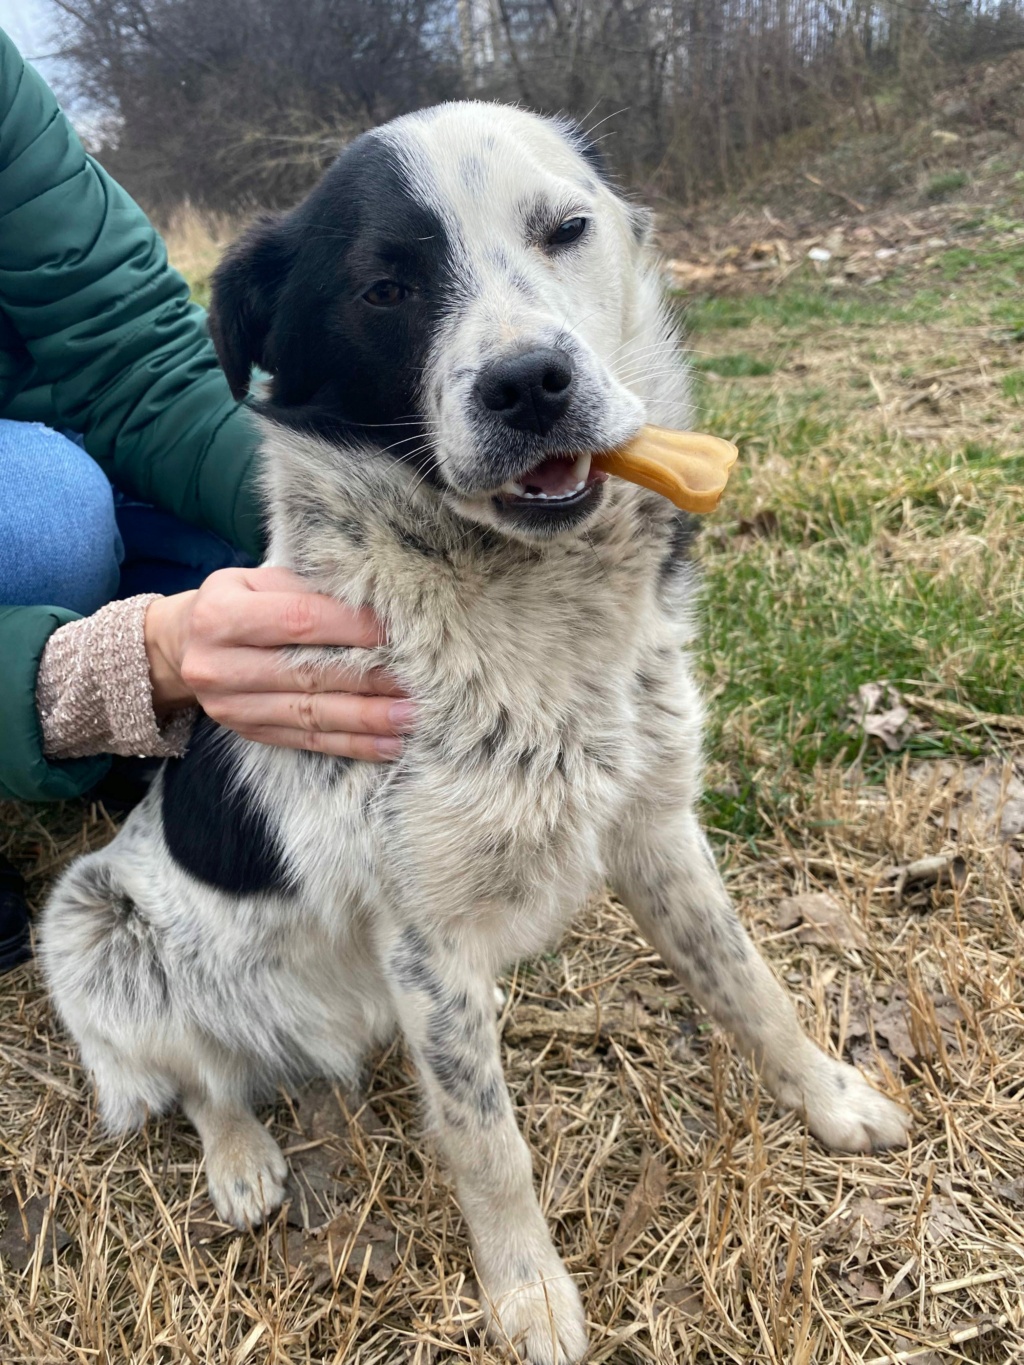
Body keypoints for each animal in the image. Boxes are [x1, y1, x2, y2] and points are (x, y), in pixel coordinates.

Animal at [40, 106, 912, 1365]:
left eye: (565, 230)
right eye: (386, 287)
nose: (530, 384)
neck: (527, 605)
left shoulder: (654, 827)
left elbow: (750, 985)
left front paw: (831, 1100)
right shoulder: (426, 935)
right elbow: (490, 1148)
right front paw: (526, 1294)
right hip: (92, 923)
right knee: (201, 1074)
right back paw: (244, 1160)